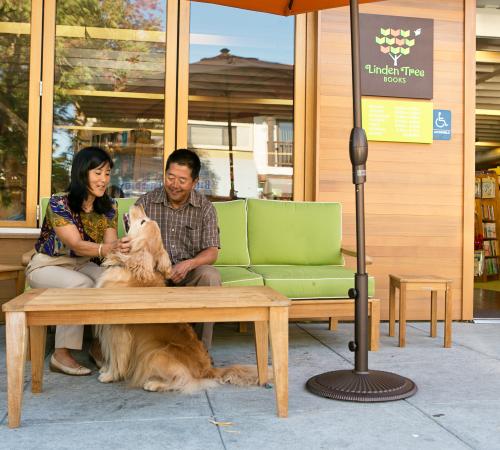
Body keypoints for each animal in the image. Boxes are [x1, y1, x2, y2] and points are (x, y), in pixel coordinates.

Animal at [94, 206, 258, 392]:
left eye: (143, 221)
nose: (138, 205)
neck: (131, 267)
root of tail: (208, 369)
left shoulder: (117, 330)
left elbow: (116, 358)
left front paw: (109, 375)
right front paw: (105, 368)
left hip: (155, 352)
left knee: (182, 380)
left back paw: (154, 383)